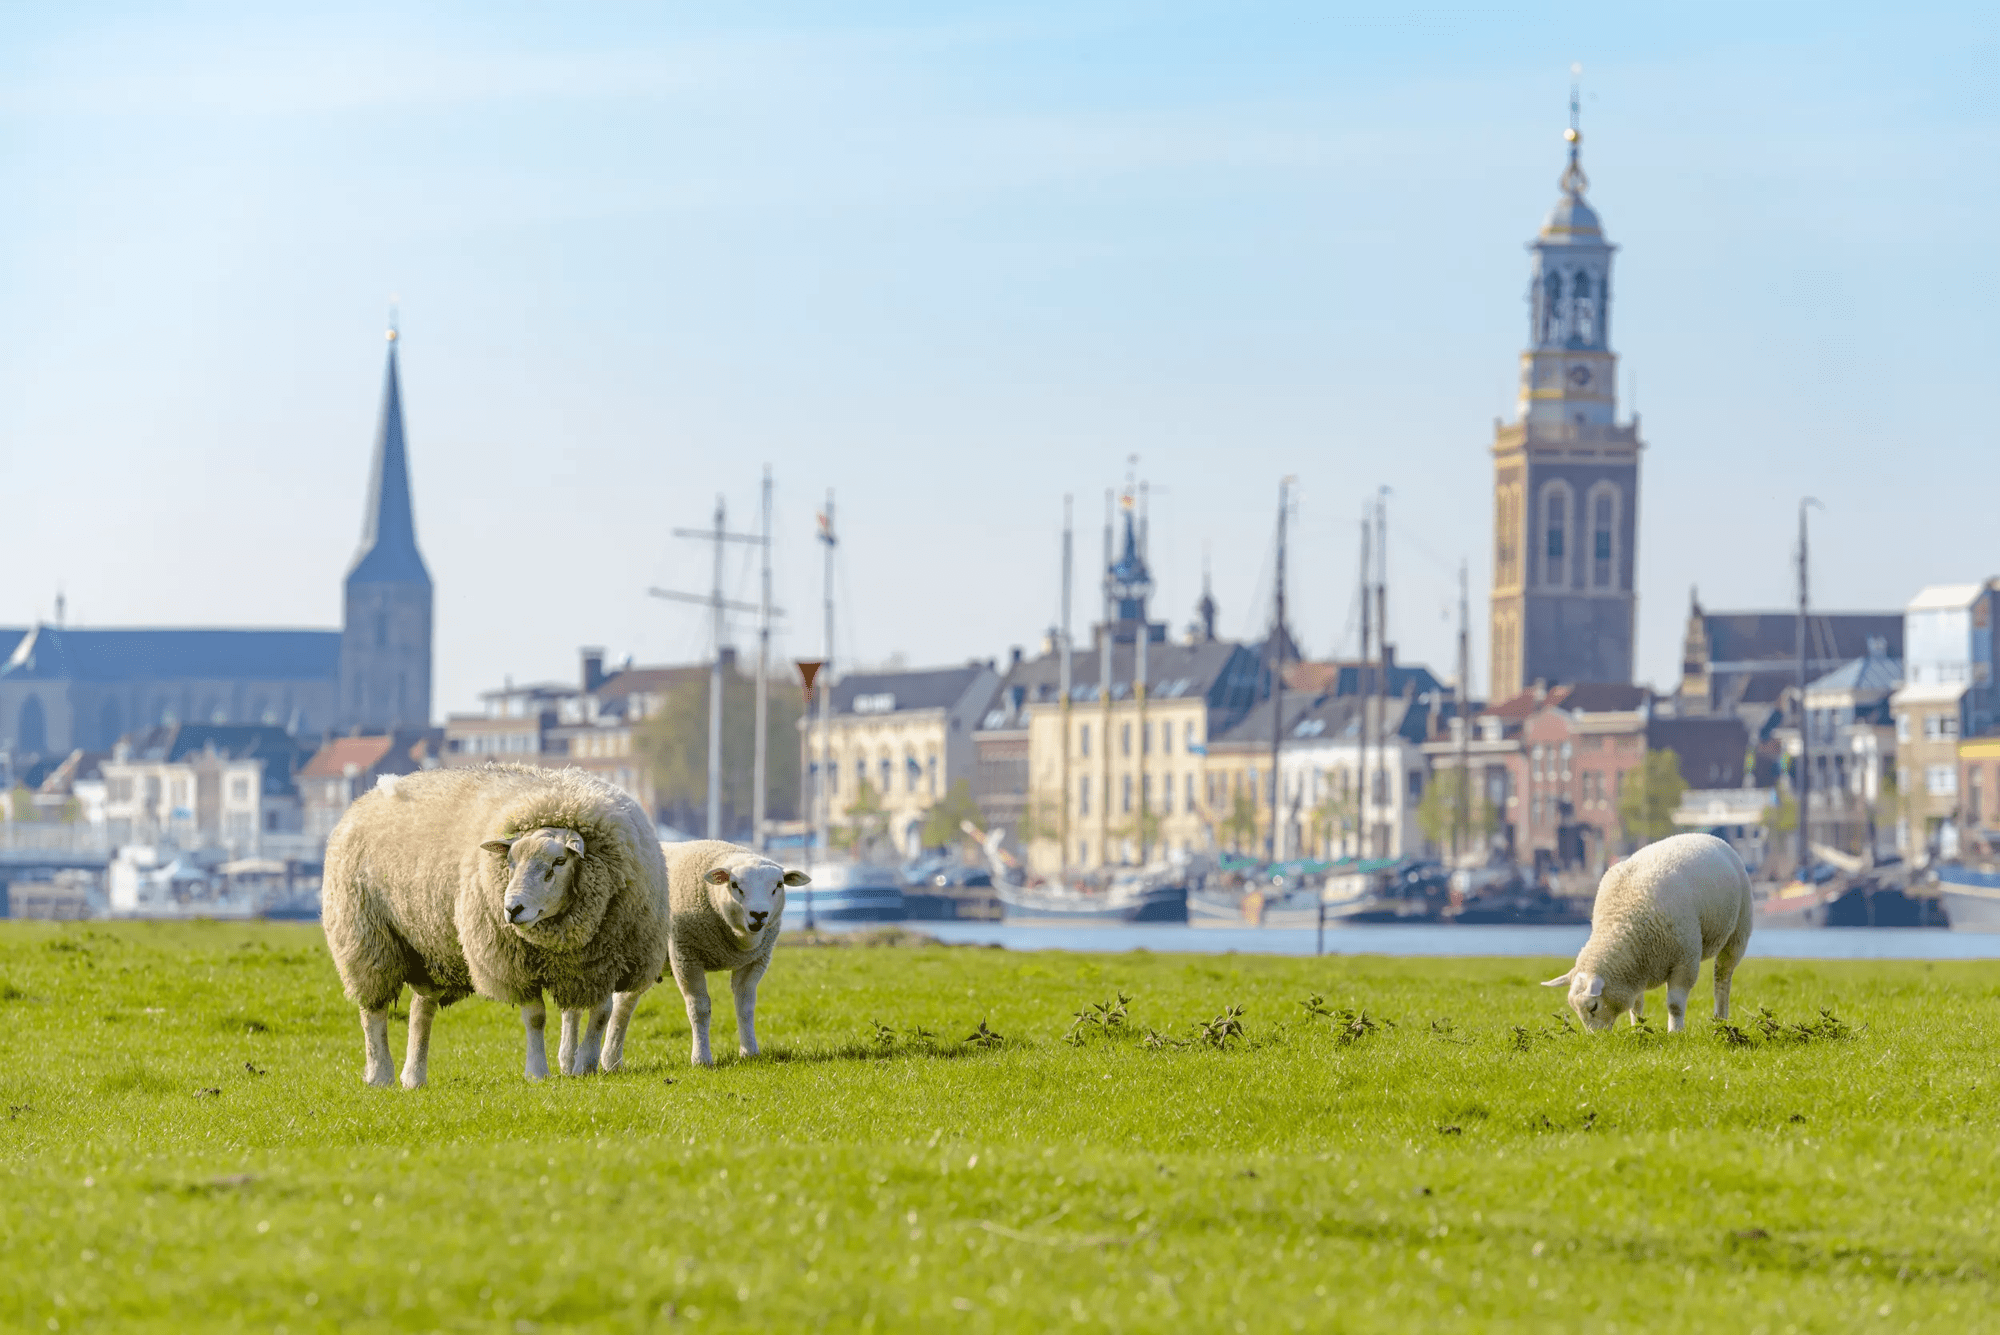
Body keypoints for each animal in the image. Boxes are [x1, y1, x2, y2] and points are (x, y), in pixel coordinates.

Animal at [322, 759, 672, 1087]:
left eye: (559, 862)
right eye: (510, 861)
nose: (512, 909)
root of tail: (368, 796)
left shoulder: (605, 961)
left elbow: (601, 1014)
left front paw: (585, 1066)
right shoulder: (515, 964)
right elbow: (536, 1017)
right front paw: (537, 1072)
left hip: (429, 946)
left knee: (422, 1009)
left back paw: (414, 1077)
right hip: (366, 937)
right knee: (374, 1011)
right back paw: (380, 1073)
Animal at [660, 843, 808, 1063]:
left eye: (779, 885)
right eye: (735, 884)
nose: (759, 914)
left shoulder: (754, 961)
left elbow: (745, 1007)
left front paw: (750, 1053)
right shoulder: (685, 956)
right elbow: (699, 1008)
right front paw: (701, 1058)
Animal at [1544, 827, 1752, 1039]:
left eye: (1593, 1007)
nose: (1596, 1038)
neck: (1620, 922)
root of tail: (1702, 834)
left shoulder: (1685, 962)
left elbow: (1675, 1005)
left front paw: (1675, 1032)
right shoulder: (1634, 970)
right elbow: (1636, 1006)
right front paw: (1637, 1029)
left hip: (1738, 932)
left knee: (1722, 979)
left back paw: (1721, 1019)